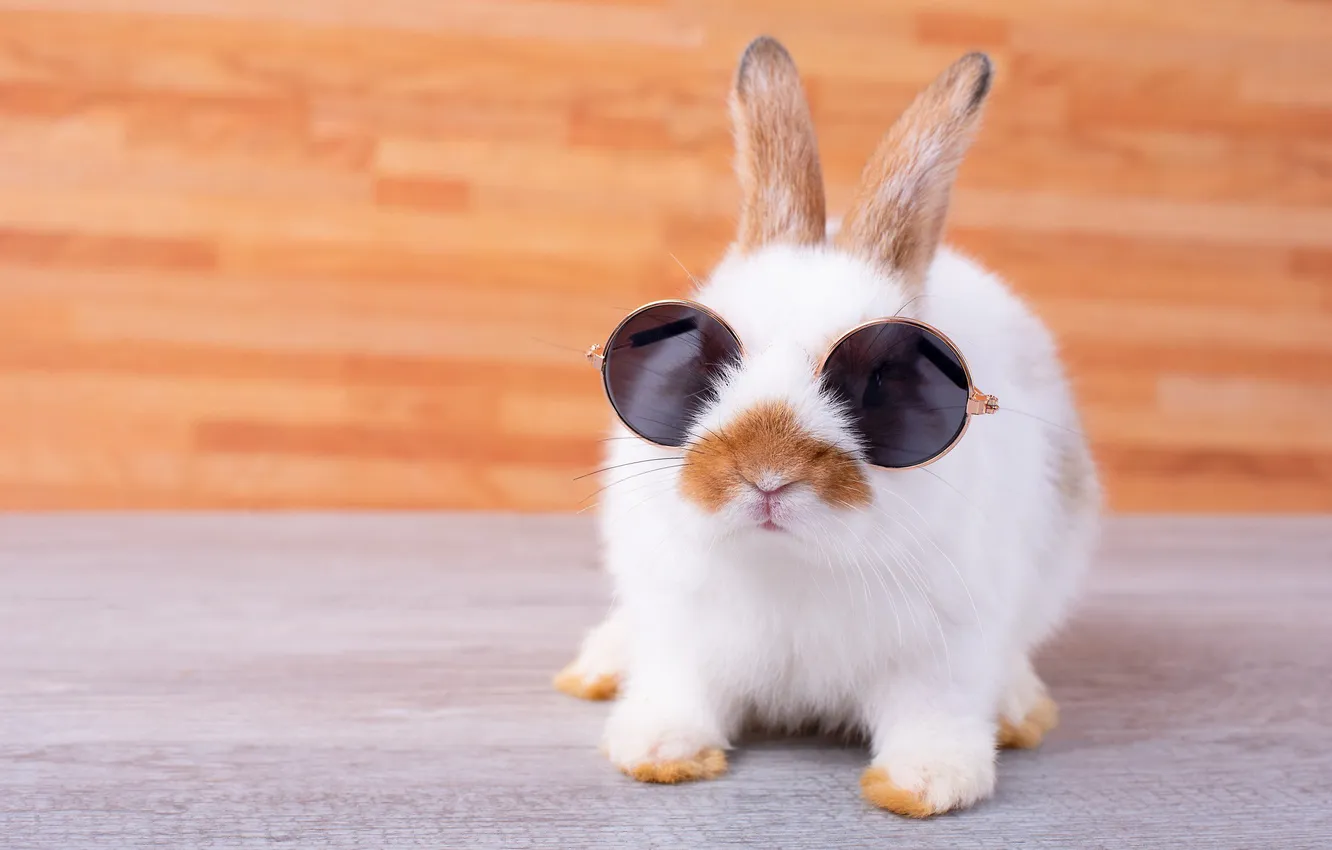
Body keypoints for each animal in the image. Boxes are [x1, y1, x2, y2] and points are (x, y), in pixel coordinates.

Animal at [554, 36, 1100, 817]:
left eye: (882, 382)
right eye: (698, 366)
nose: (765, 474)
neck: (791, 566)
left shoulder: (946, 649)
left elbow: (934, 716)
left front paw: (924, 784)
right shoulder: (682, 631)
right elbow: (680, 691)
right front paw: (658, 753)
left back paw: (1021, 710)